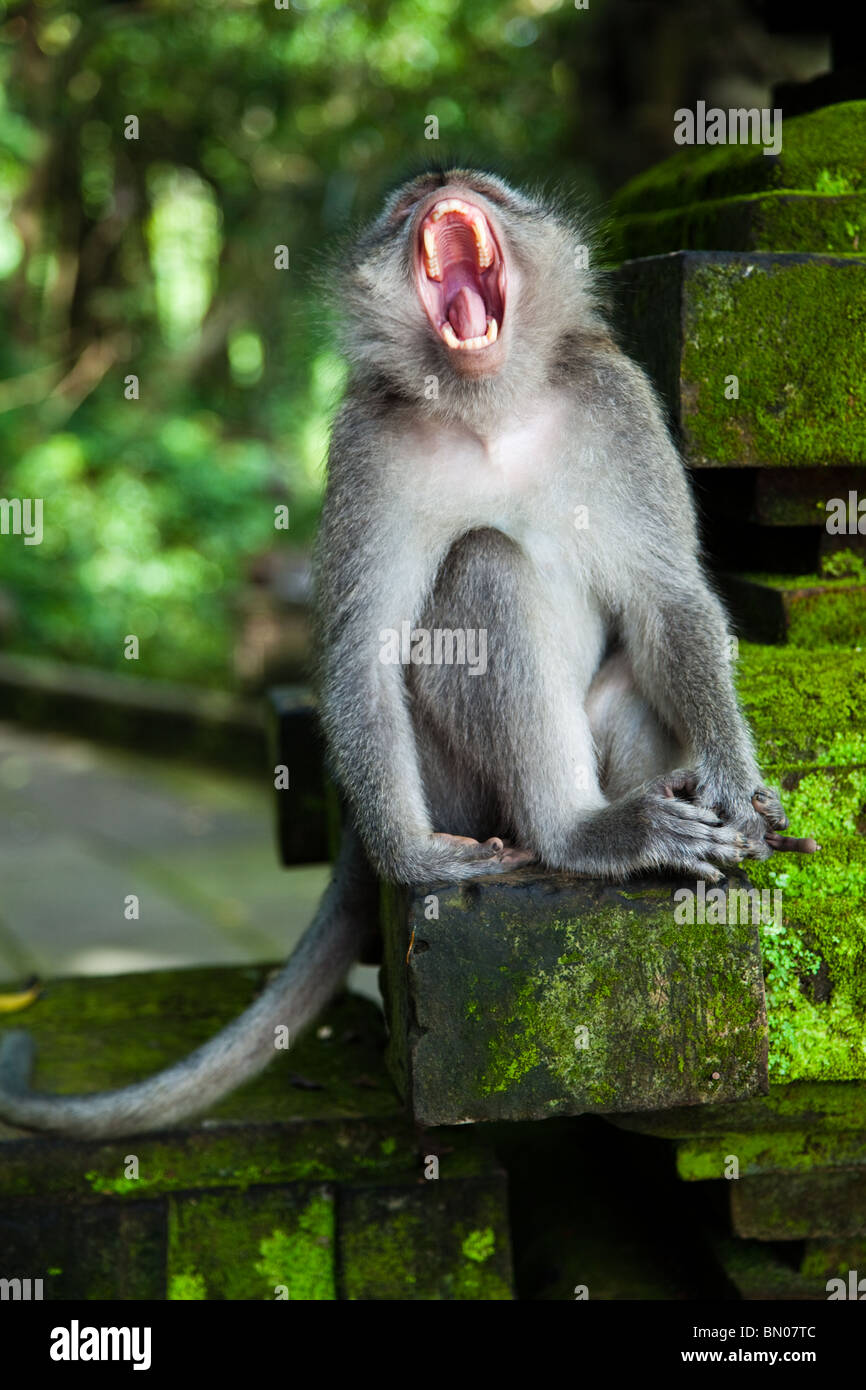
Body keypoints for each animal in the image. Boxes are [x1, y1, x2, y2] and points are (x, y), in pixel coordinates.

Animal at [0, 170, 817, 1139]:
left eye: (489, 186)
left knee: (628, 669)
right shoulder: (366, 443)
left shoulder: (616, 401)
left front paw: (735, 784)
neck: (490, 407)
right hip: (452, 784)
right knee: (483, 563)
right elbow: (361, 651)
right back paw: (580, 834)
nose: (440, 181)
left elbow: (668, 601)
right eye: (402, 211)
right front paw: (415, 861)